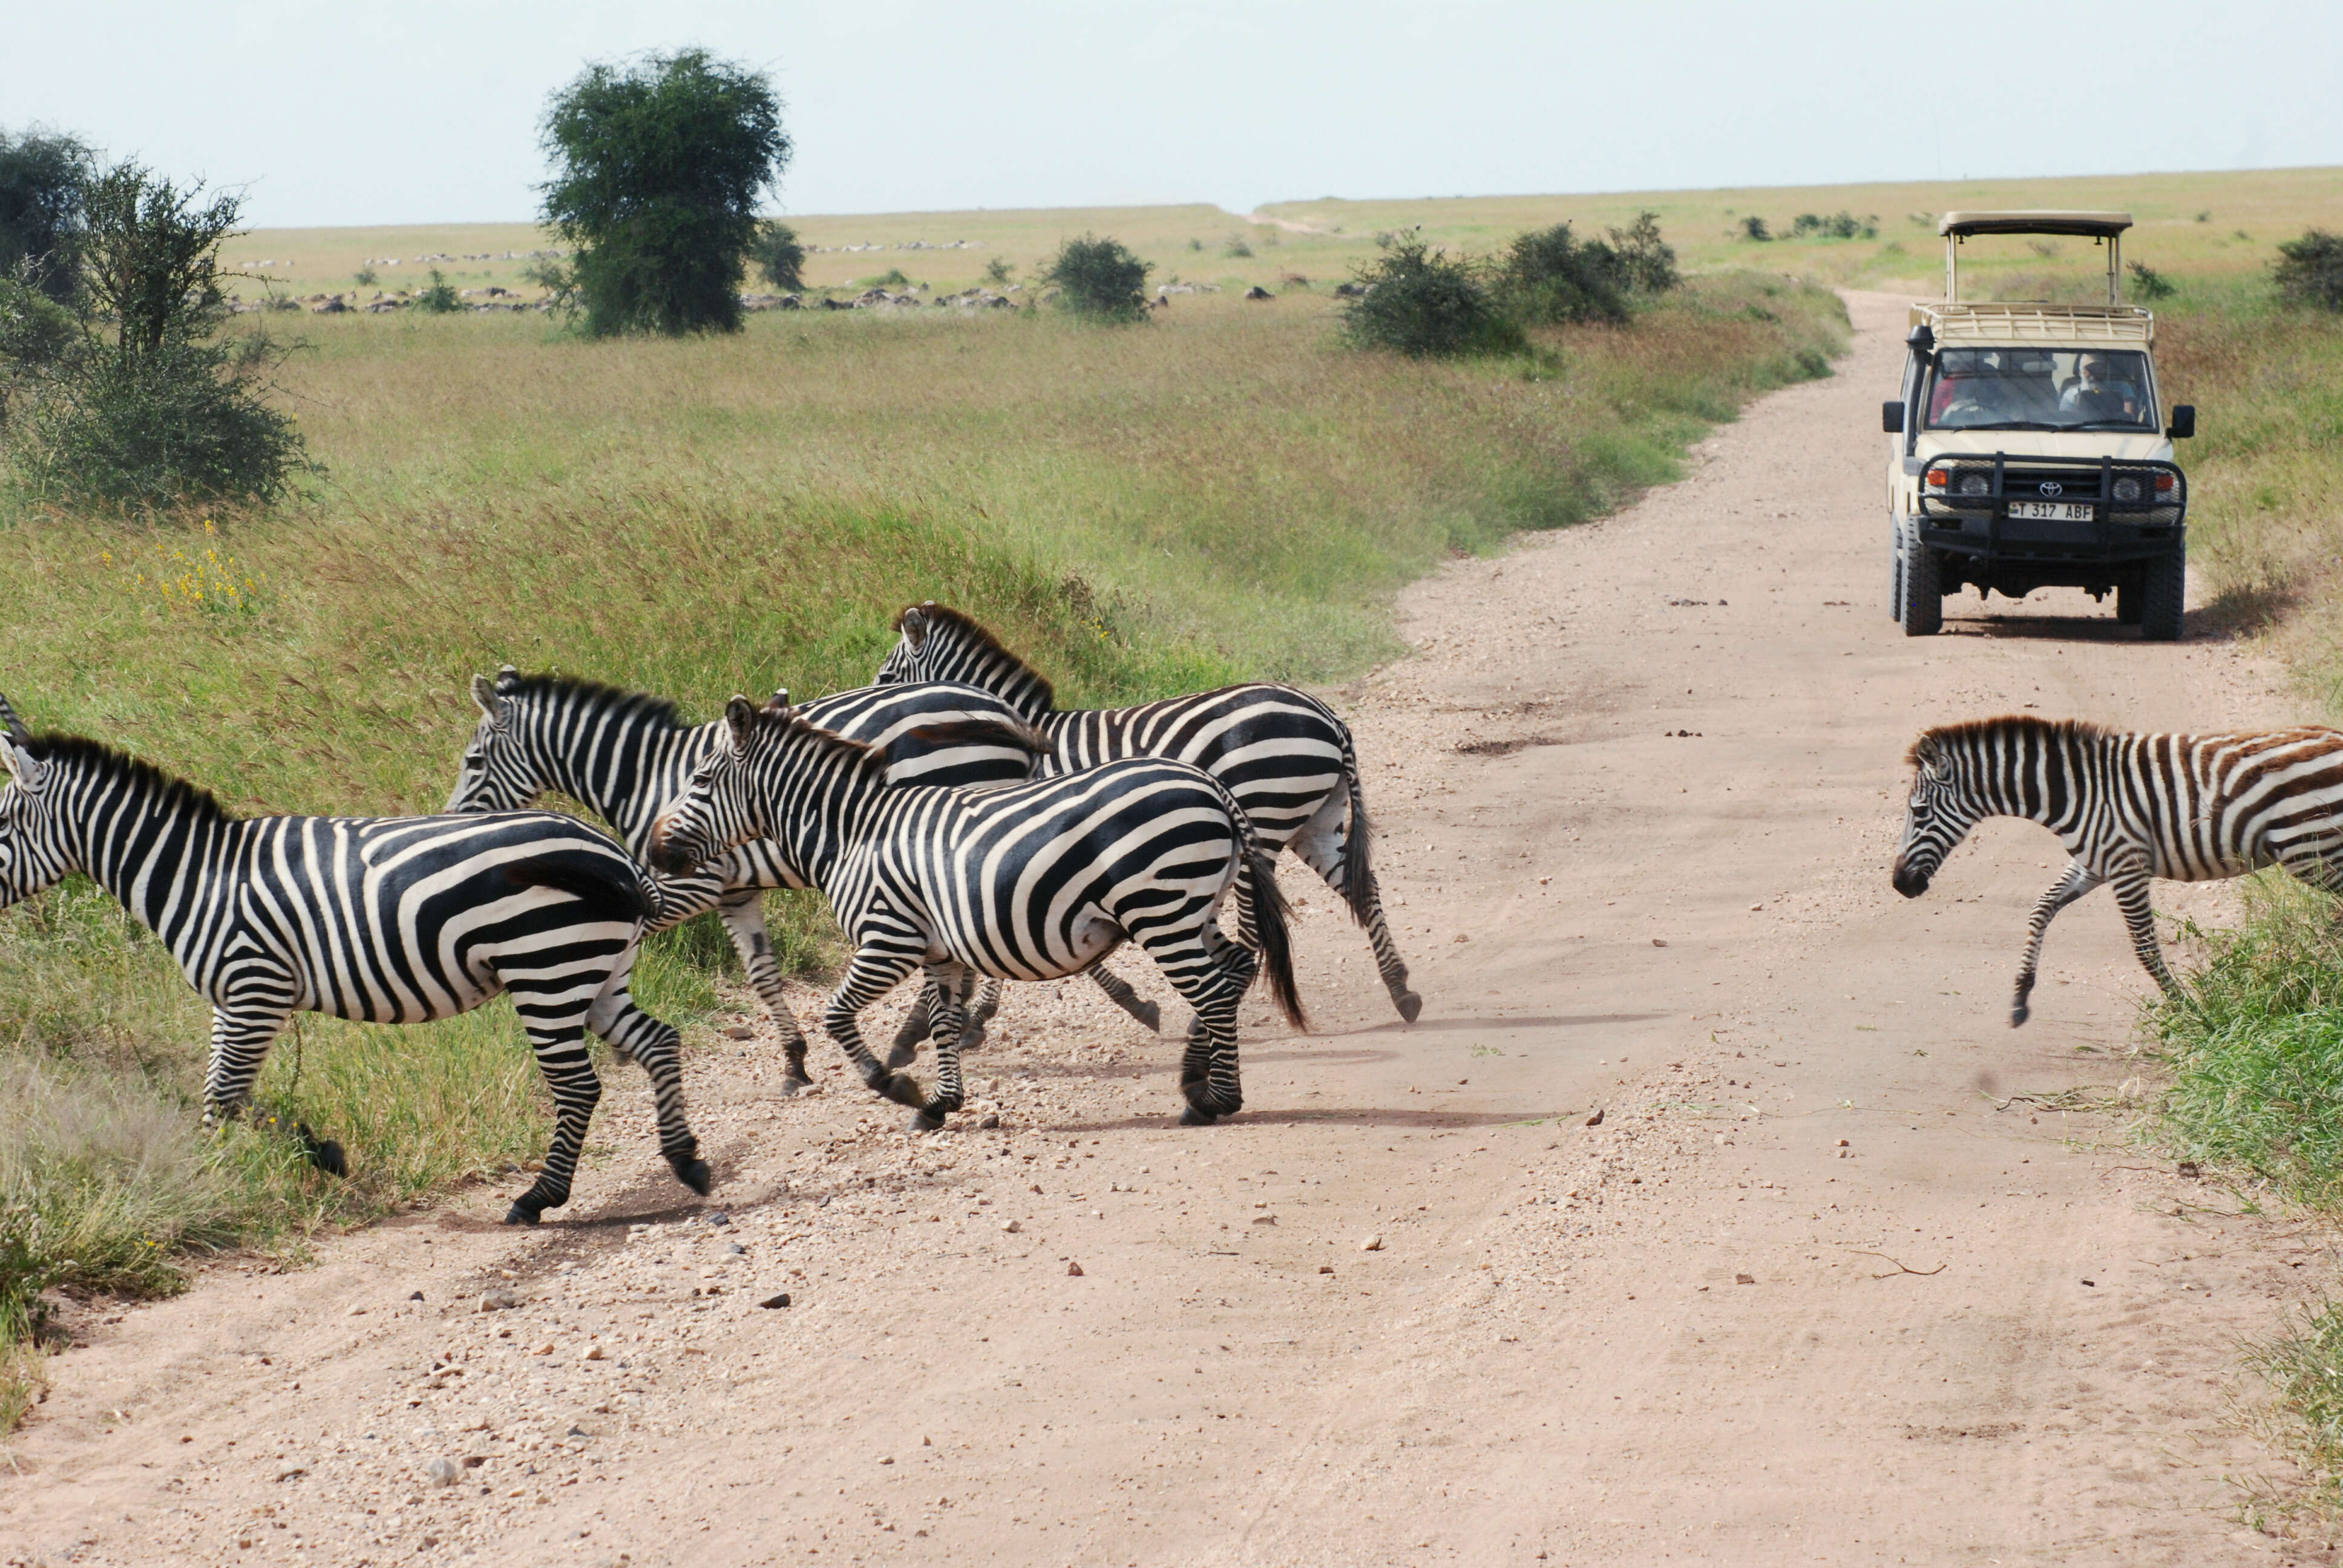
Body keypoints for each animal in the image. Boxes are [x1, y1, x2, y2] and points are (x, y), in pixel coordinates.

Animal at [0, 693, 712, 1218]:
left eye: (1, 824)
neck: (198, 877)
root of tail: (617, 857)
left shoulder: (255, 988)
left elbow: (224, 1098)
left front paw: (219, 1177)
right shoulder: (236, 1000)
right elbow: (227, 1095)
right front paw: (315, 1153)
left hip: (547, 967)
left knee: (578, 1086)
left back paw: (539, 1198)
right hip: (596, 973)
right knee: (659, 1041)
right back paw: (686, 1161)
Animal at [452, 665, 1040, 1082]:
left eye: (473, 762)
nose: (454, 822)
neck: (647, 779)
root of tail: (1000, 709)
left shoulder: (686, 884)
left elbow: (632, 937)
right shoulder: (734, 890)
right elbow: (762, 973)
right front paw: (795, 1061)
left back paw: (931, 1030)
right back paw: (953, 1022)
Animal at [651, 698, 1312, 1125]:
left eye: (700, 780)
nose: (657, 853)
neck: (854, 834)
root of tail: (1209, 785)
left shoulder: (887, 939)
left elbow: (837, 1015)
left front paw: (895, 1086)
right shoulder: (937, 950)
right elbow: (943, 1022)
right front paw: (941, 1103)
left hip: (1160, 909)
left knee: (1212, 990)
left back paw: (1215, 1100)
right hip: (1192, 907)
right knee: (1232, 969)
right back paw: (1195, 1078)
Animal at [876, 599, 1415, 1027]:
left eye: (885, 678)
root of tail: (1328, 716)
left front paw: (977, 1012)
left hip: (1263, 818)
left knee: (1257, 918)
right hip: (1316, 823)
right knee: (1362, 889)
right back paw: (1402, 991)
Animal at [1893, 712, 2343, 1027]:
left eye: (1919, 812)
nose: (1900, 885)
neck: (2076, 791)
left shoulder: (2126, 864)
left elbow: (2144, 948)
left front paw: (2191, 1013)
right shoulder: (2094, 864)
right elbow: (2041, 909)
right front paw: (2020, 997)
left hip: (2313, 850)